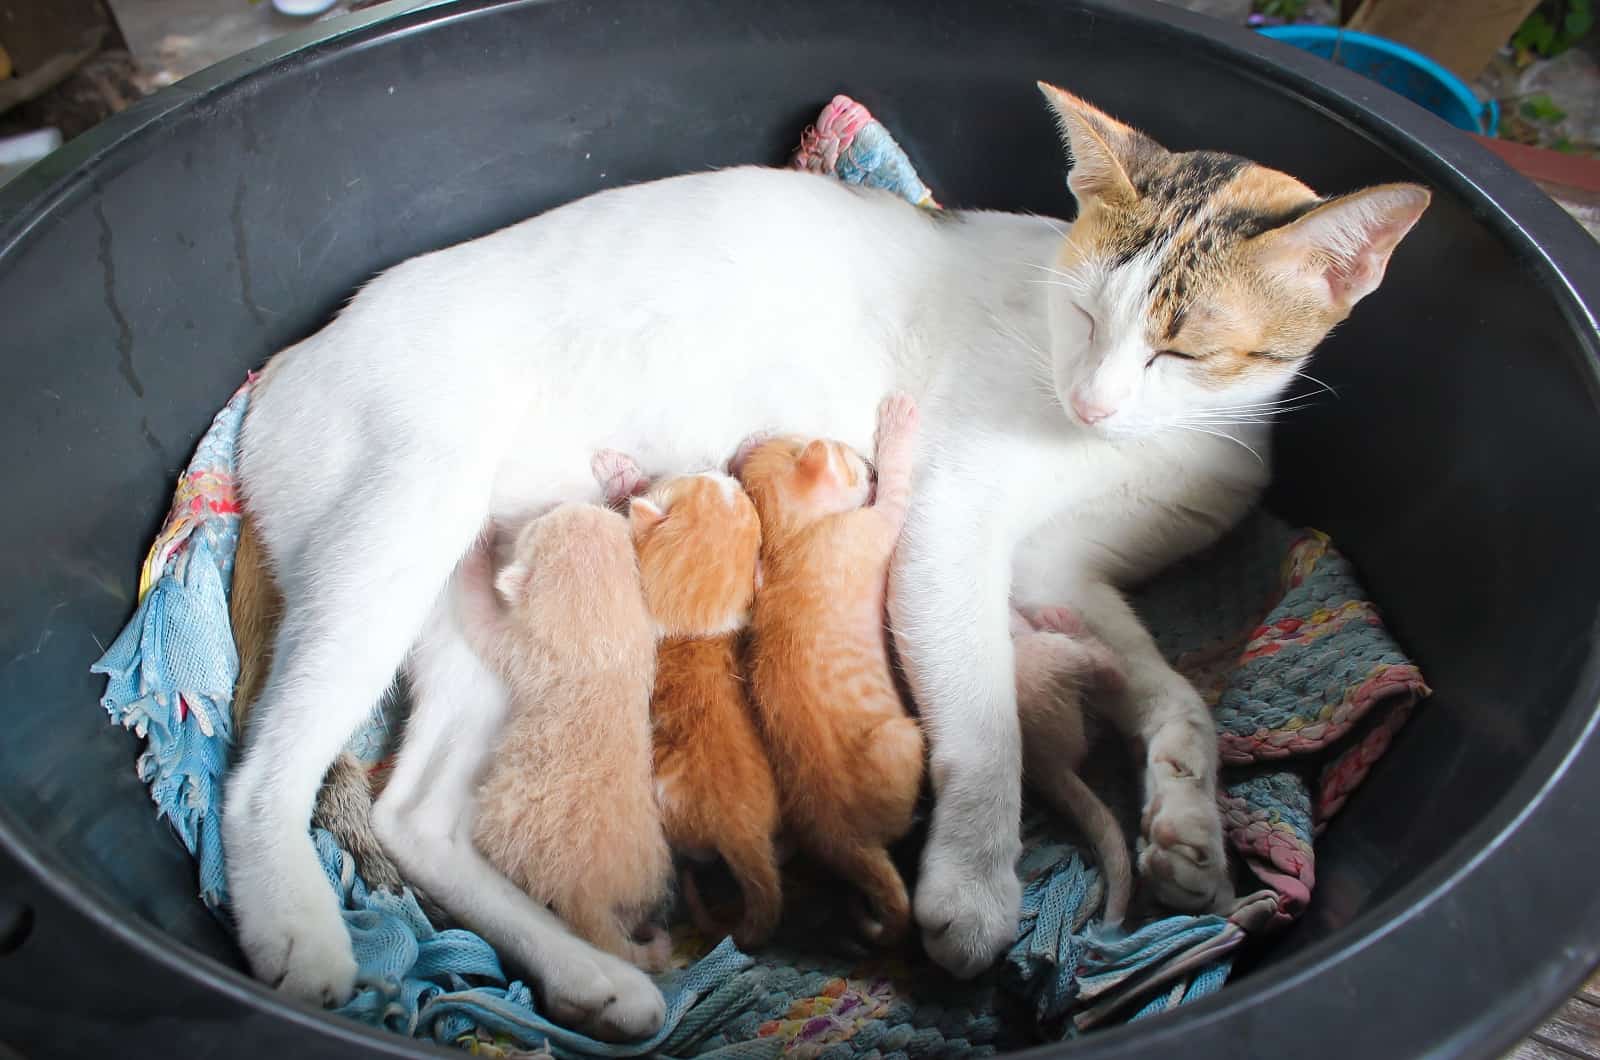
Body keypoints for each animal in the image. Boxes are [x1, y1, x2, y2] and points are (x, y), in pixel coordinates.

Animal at [460, 505, 672, 973]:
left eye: (539, 529)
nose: (560, 506)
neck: (601, 639)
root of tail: (585, 892)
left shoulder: (523, 651)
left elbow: (480, 624)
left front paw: (475, 555)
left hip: (506, 818)